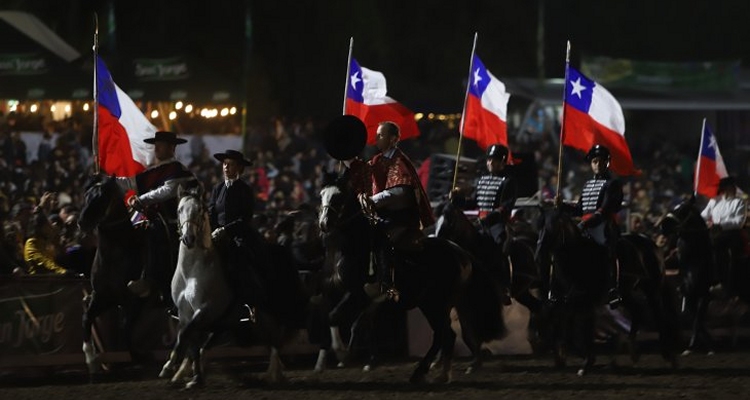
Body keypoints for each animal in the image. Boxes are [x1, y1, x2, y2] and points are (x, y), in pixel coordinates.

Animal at [78, 173, 151, 374]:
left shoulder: (133, 301)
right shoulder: (103, 296)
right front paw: (92, 360)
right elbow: (86, 318)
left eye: (102, 197)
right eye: (86, 195)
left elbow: (125, 329)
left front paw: (140, 356)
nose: (82, 222)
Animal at [318, 176, 506, 384]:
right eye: (322, 195)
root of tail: (461, 253)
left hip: (435, 304)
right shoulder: (357, 294)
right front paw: (329, 360)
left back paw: (425, 371)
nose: (324, 223)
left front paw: (344, 354)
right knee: (448, 335)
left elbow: (353, 322)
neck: (358, 245)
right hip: (435, 304)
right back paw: (441, 373)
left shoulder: (361, 294)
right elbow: (335, 317)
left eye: (338, 197)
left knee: (445, 334)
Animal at [536, 205, 680, 376]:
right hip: (626, 293)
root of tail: (651, 243)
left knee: (659, 316)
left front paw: (586, 362)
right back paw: (632, 351)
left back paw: (668, 355)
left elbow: (585, 331)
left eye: (553, 227)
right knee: (638, 310)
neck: (577, 257)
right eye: (539, 227)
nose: (538, 255)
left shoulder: (585, 301)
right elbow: (567, 327)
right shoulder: (566, 302)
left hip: (652, 290)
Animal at [664, 195, 750, 354]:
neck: (697, 259)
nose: (663, 226)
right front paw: (709, 343)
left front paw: (697, 346)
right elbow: (695, 319)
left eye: (683, 210)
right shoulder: (691, 295)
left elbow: (698, 319)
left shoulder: (705, 295)